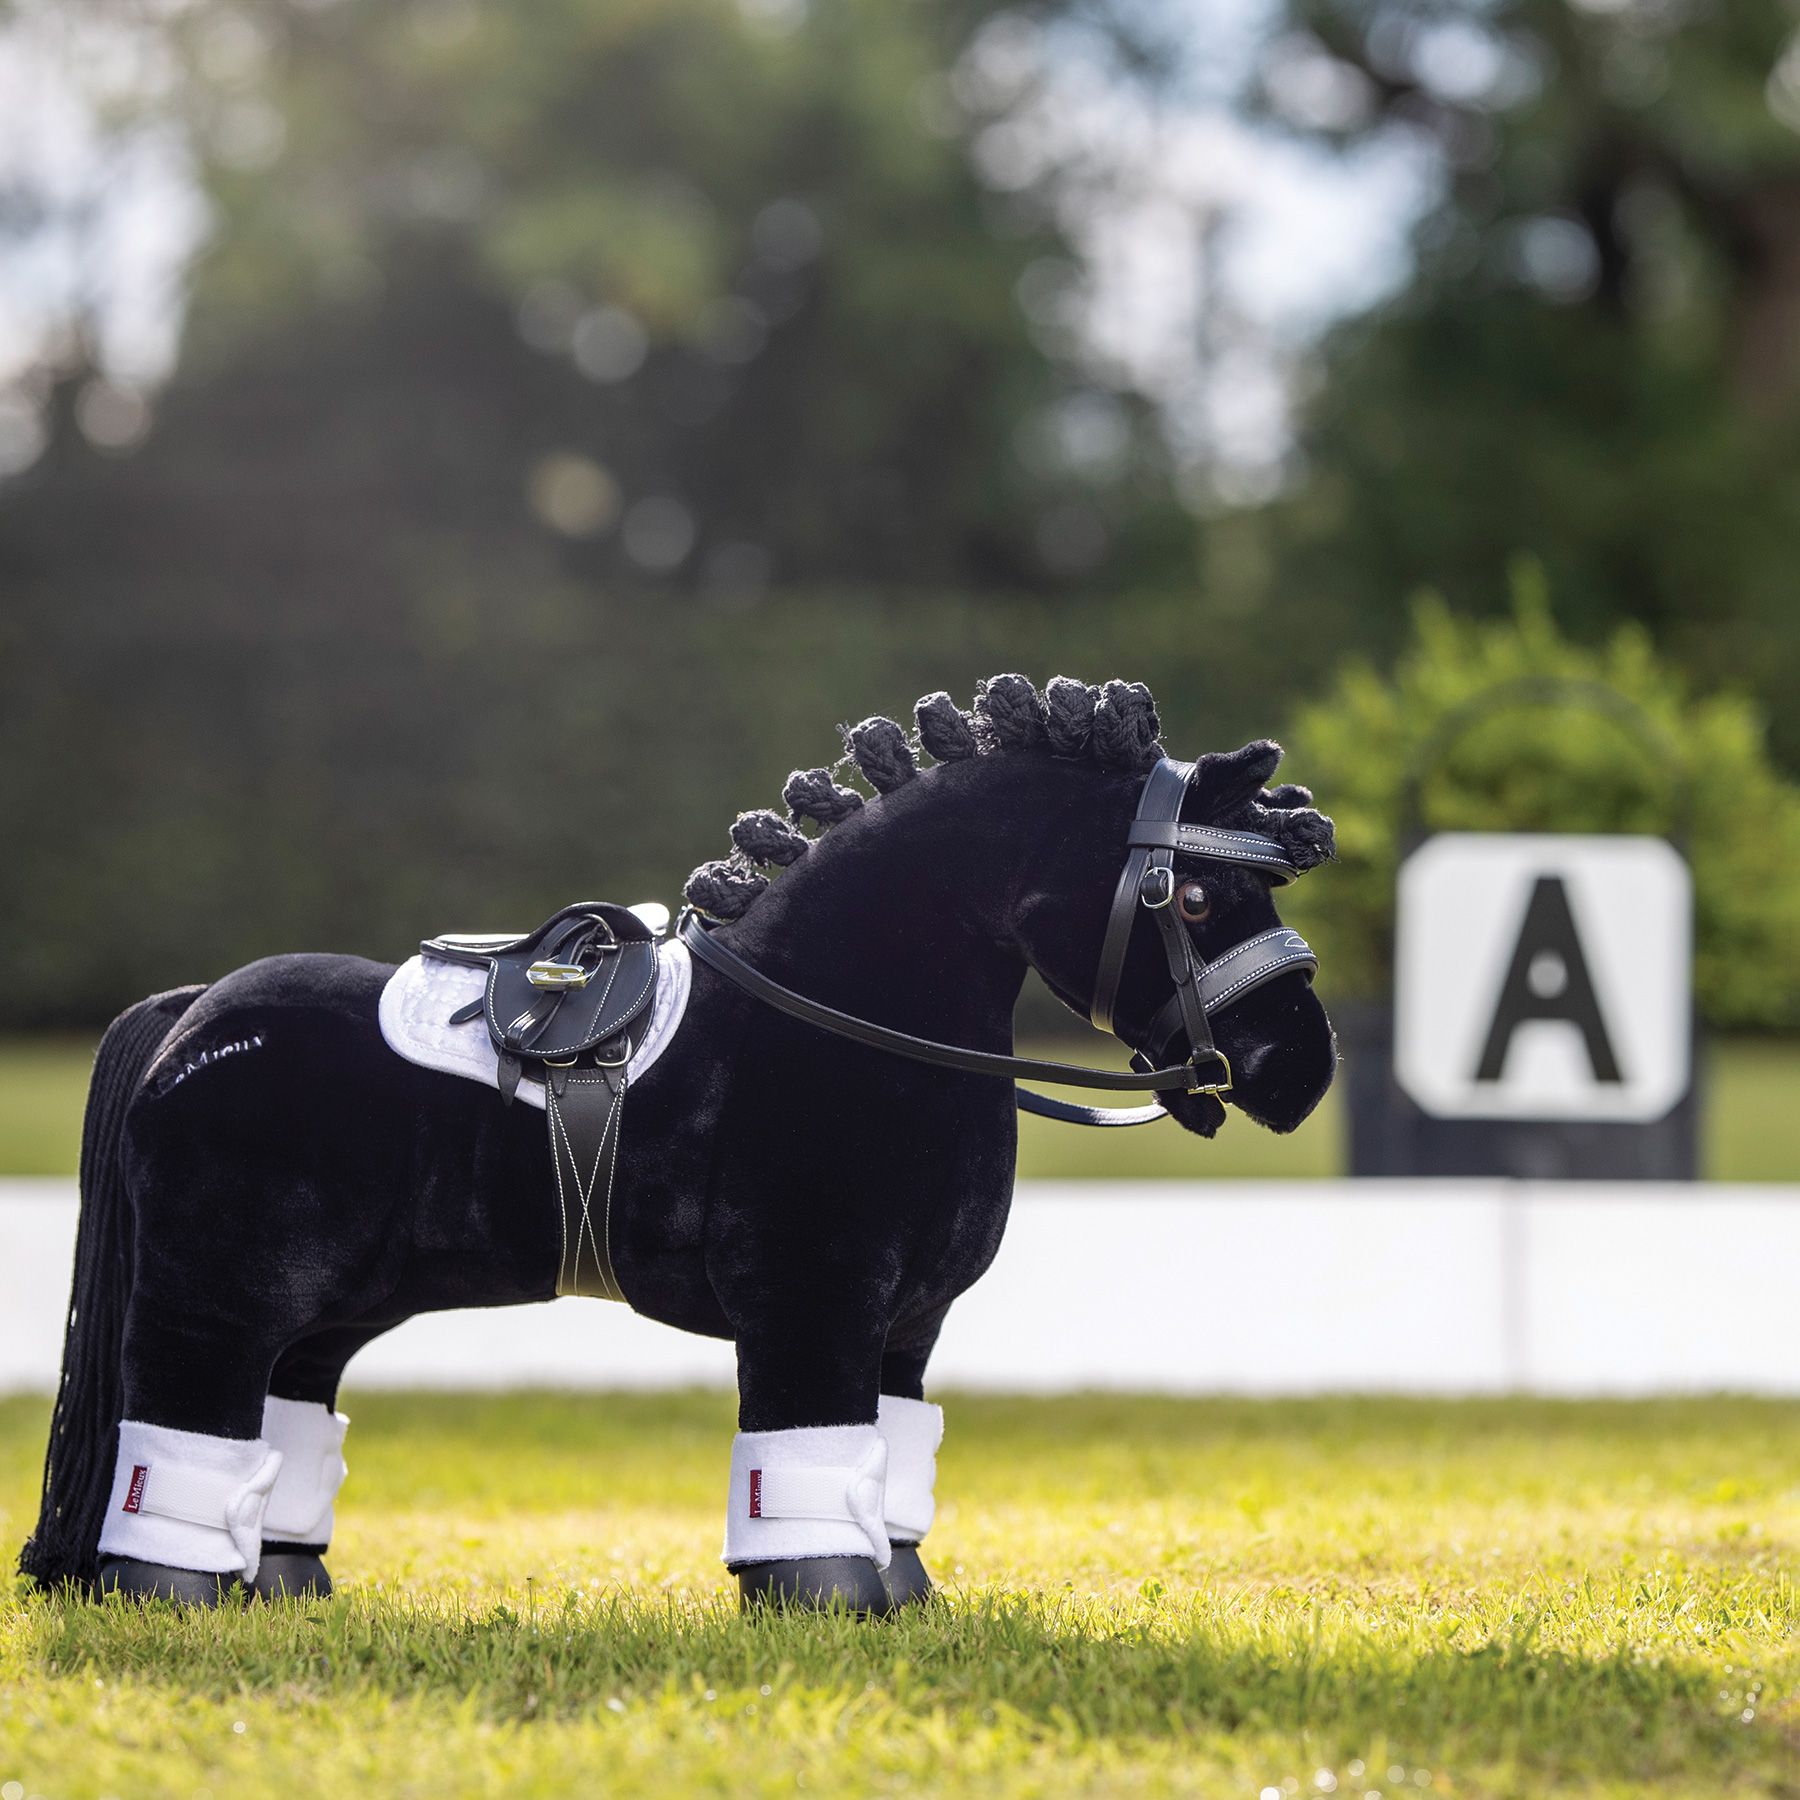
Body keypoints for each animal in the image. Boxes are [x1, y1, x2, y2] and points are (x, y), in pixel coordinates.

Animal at [20, 674, 1337, 1614]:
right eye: (1197, 898)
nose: (1302, 1069)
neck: (843, 1010)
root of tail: (191, 1013)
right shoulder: (812, 1305)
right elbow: (803, 1458)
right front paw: (827, 1600)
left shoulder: (906, 1328)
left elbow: (889, 1460)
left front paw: (906, 1596)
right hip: (216, 1297)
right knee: (181, 1425)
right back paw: (181, 1596)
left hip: (325, 1313)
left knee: (283, 1421)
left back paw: (285, 1589)